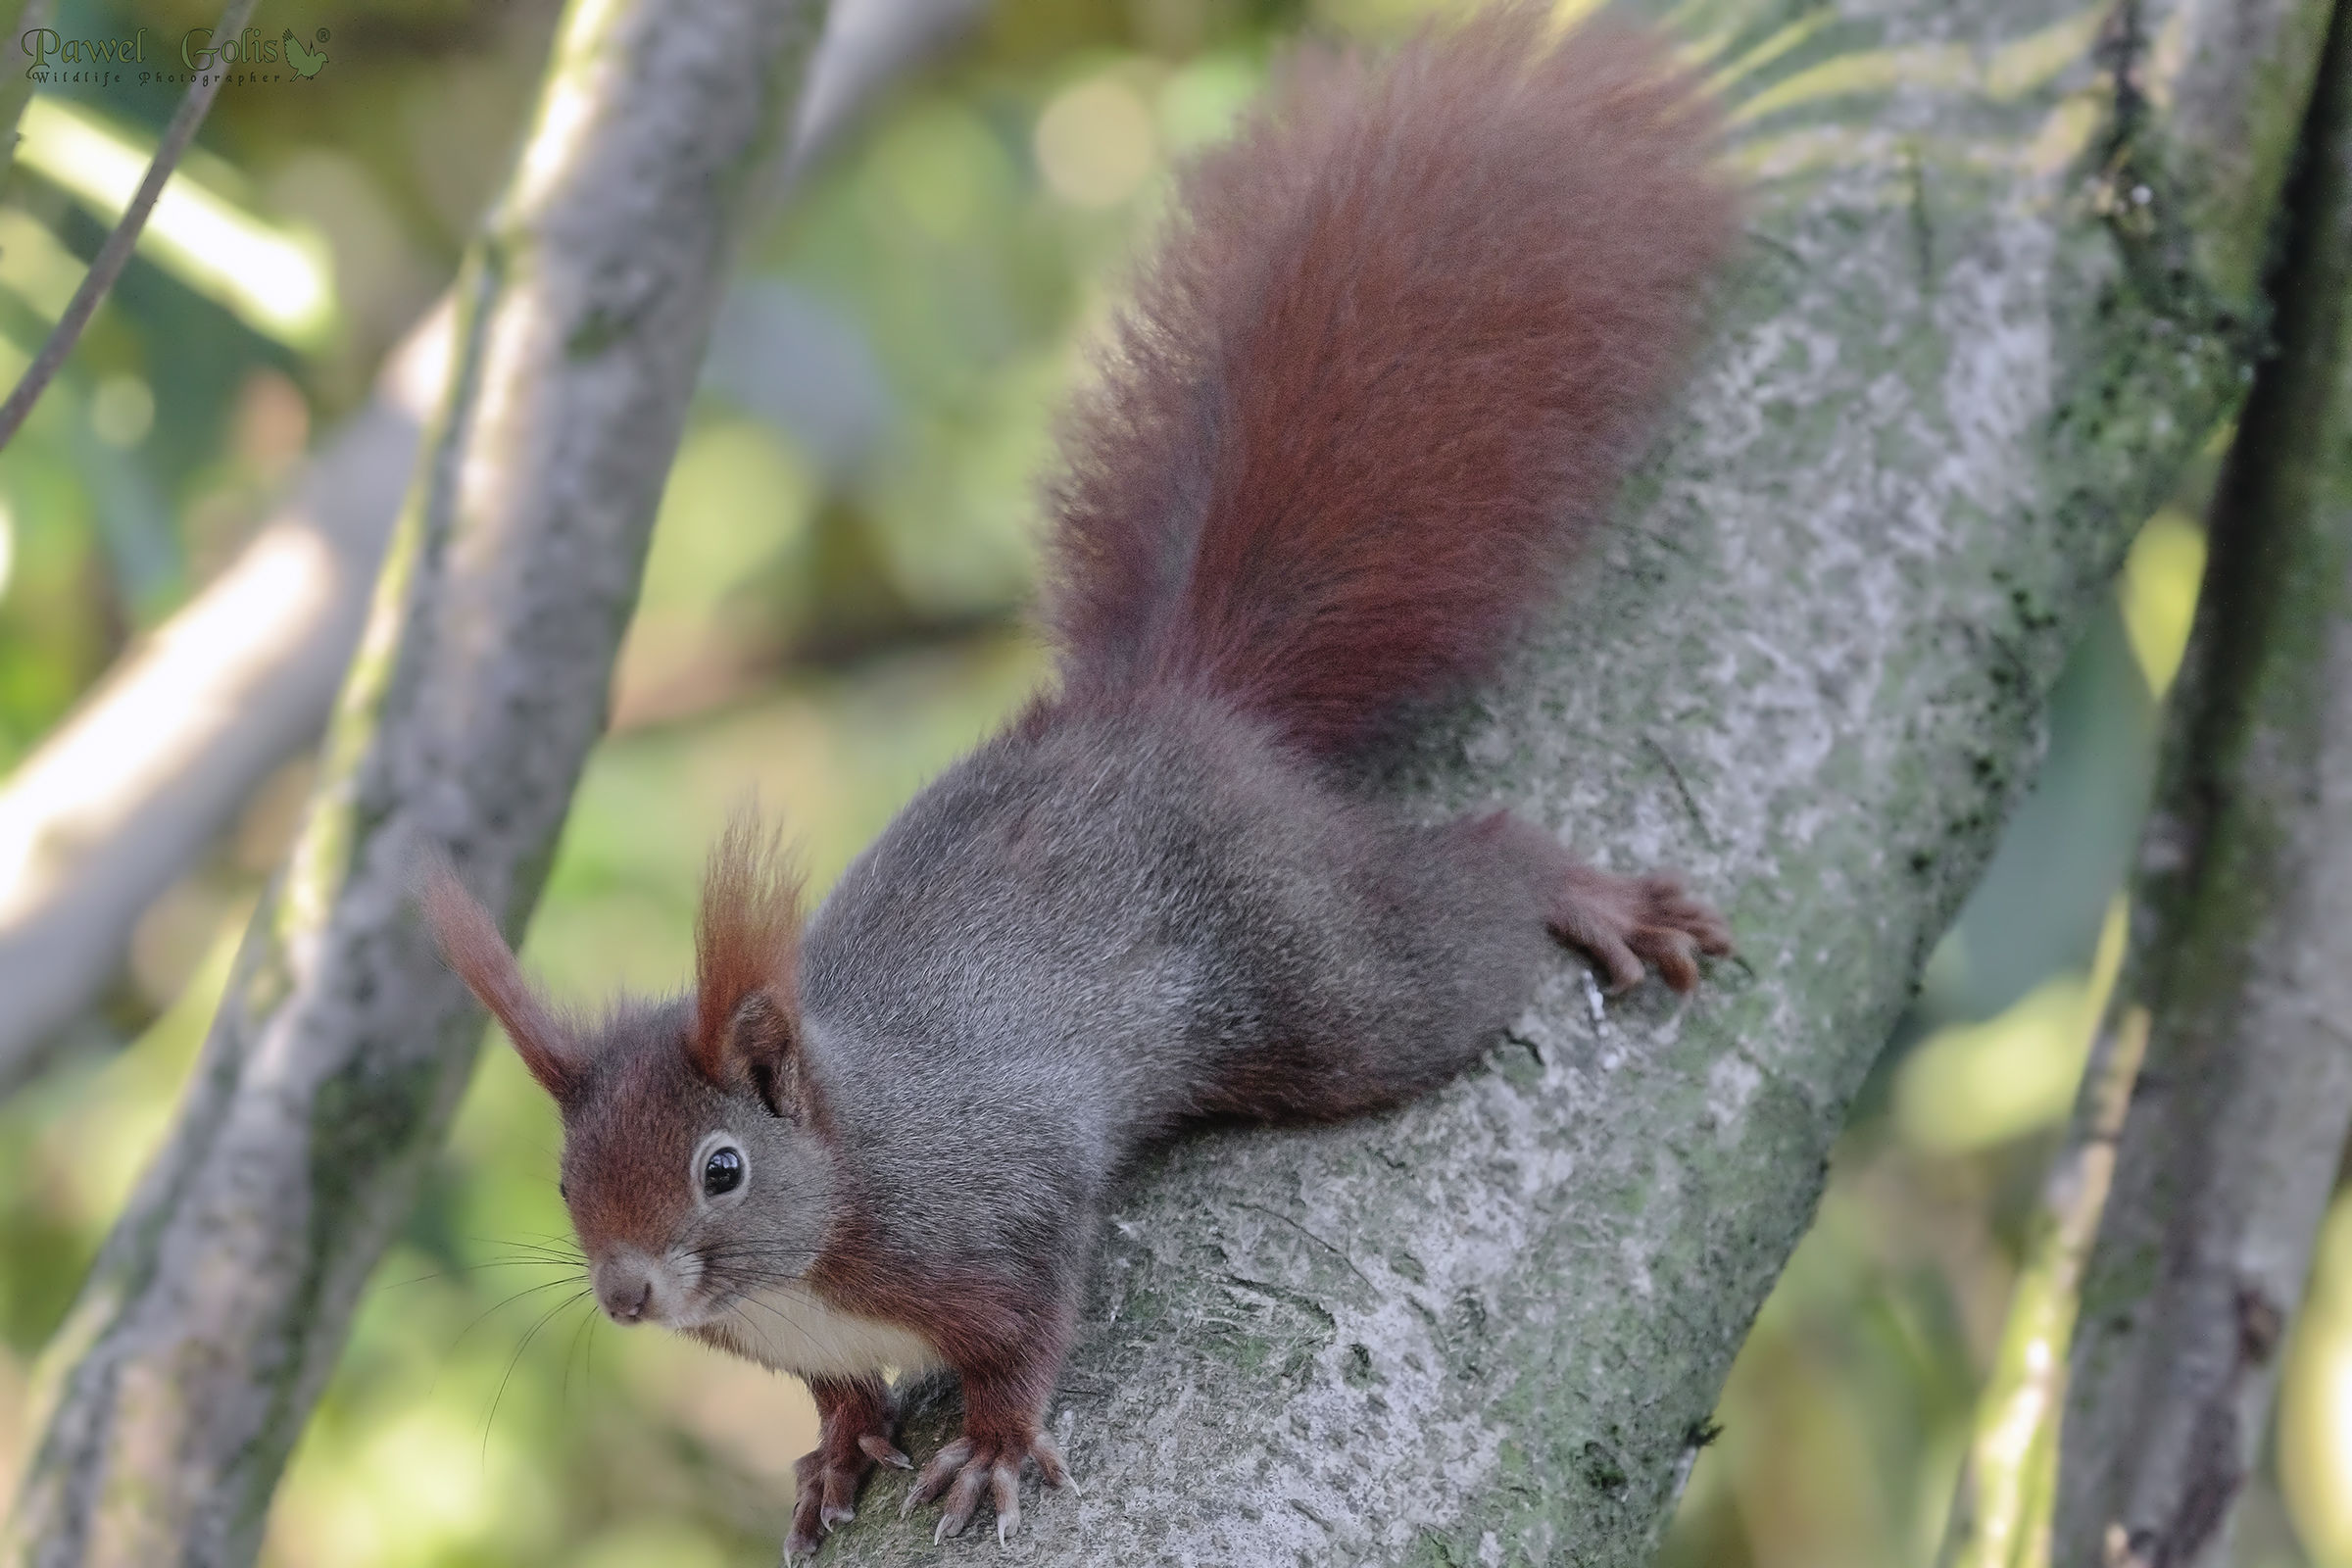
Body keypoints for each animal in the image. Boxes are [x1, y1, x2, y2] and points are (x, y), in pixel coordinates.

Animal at [424, 5, 1737, 1559]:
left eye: (719, 1168)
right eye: (568, 1175)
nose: (627, 1292)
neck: (830, 1204)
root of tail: (1177, 706)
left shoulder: (1004, 1206)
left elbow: (1028, 1330)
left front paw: (991, 1446)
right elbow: (835, 1394)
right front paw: (837, 1452)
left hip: (1325, 978)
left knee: (1457, 910)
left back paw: (1581, 893)